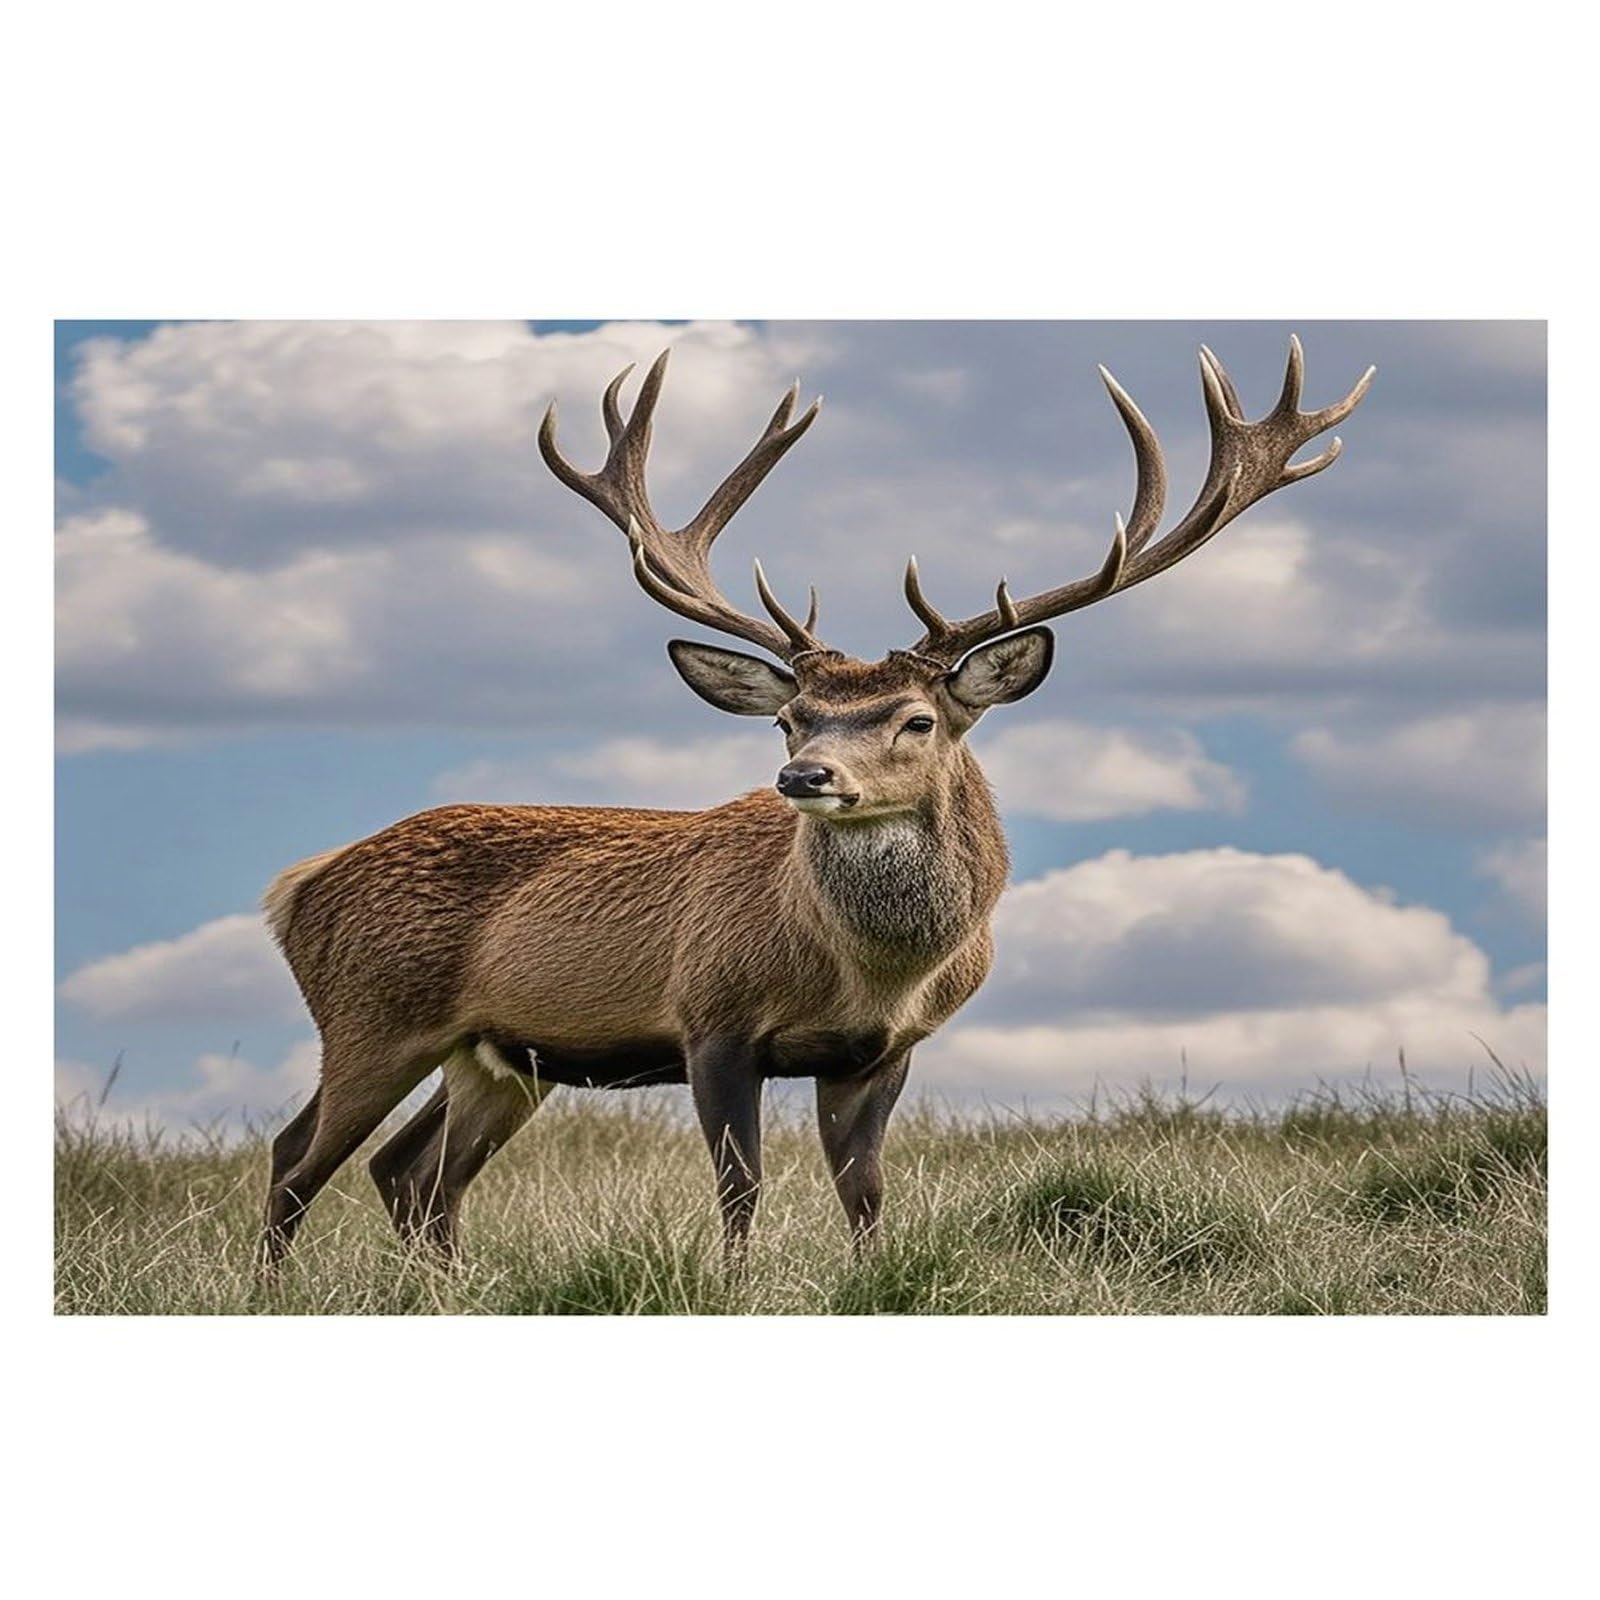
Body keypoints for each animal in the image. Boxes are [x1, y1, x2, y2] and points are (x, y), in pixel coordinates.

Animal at [259, 335, 1373, 1270]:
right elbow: (740, 1186)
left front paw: (872, 1277)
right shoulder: (709, 1015)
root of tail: (297, 886)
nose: (806, 778)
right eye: (791, 719)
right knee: (295, 1156)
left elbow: (863, 1190)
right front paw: (734, 1285)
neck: (861, 971)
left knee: (409, 1172)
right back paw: (280, 1283)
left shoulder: (881, 1052)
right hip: (370, 1013)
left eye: (916, 720)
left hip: (495, 1055)